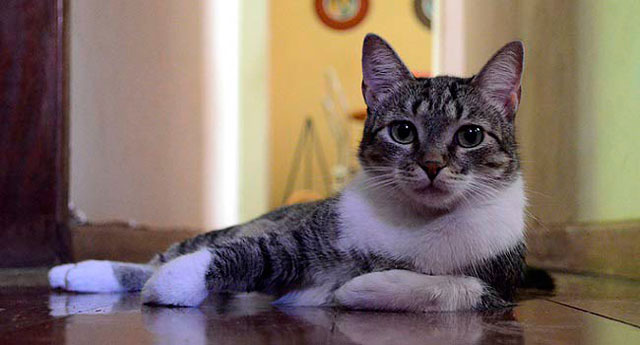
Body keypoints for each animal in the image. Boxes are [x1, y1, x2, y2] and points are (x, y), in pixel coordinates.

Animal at [47, 34, 532, 312]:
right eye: (402, 131)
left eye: (470, 135)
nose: (432, 165)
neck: (418, 223)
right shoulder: (300, 239)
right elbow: (250, 253)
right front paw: (175, 283)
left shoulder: (501, 287)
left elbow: (453, 288)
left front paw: (362, 289)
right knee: (172, 254)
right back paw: (77, 273)